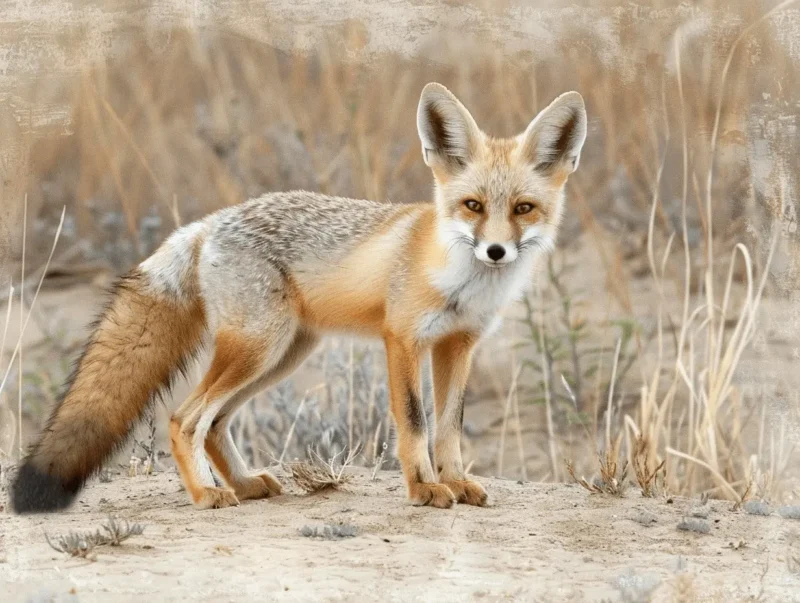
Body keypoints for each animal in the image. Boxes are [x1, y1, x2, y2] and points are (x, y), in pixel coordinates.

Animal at [10, 82, 586, 513]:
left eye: (523, 208)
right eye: (472, 205)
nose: (495, 251)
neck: (460, 281)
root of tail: (207, 223)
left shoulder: (458, 345)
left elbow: (448, 427)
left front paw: (456, 480)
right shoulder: (401, 339)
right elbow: (415, 422)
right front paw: (424, 487)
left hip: (283, 355)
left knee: (215, 424)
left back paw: (244, 485)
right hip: (259, 348)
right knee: (185, 419)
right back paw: (207, 495)